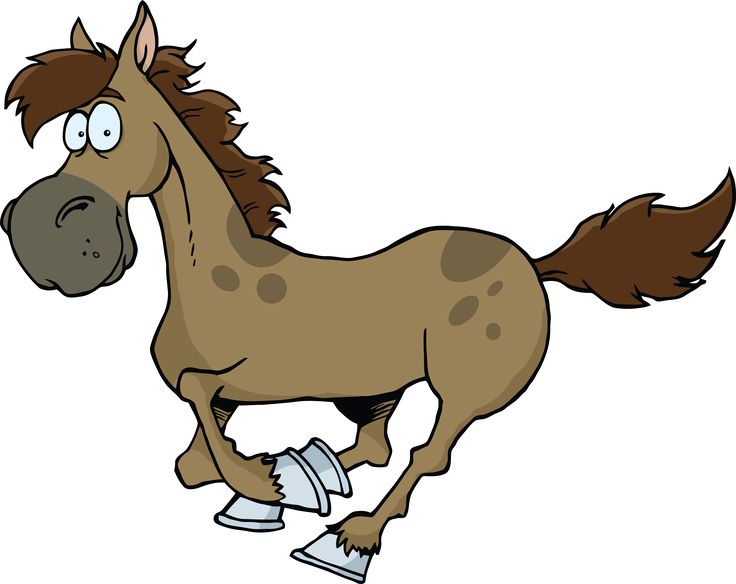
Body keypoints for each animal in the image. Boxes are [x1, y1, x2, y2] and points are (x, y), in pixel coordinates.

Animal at [2, 4, 734, 581]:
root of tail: (533, 260)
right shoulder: (224, 393)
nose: (39, 237)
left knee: (426, 455)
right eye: (72, 132)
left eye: (104, 128)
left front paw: (263, 486)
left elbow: (204, 412)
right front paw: (267, 477)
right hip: (380, 382)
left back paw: (348, 538)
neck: (213, 280)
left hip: (465, 388)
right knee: (376, 445)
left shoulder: (245, 377)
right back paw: (314, 468)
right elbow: (194, 453)